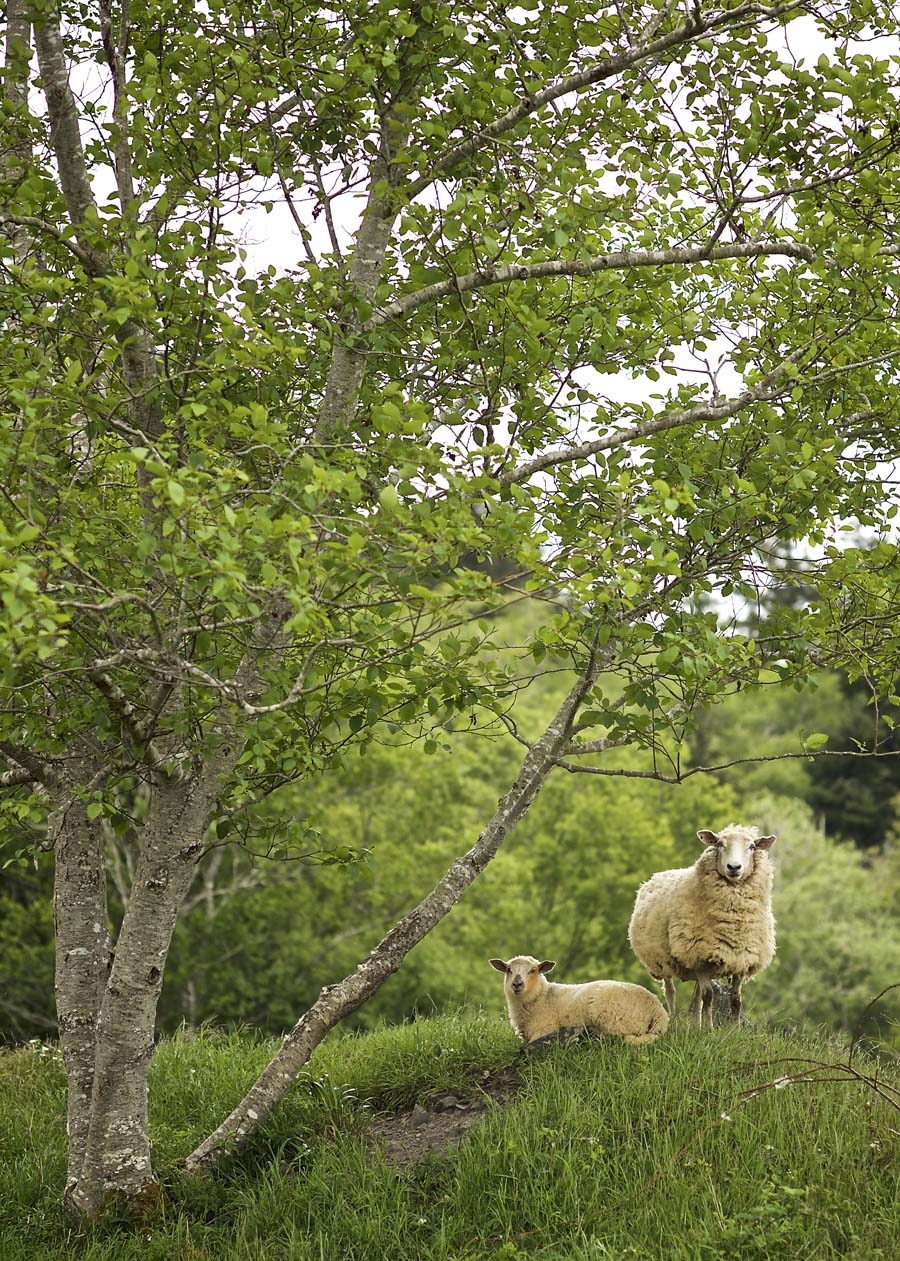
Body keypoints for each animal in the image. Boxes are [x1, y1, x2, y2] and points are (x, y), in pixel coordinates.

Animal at [491, 953, 665, 1044]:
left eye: (533, 970)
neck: (542, 997)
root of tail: (657, 1009)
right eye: (508, 970)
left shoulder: (544, 1030)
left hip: (612, 1018)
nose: (517, 984)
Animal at [625, 822, 771, 1028]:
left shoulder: (741, 959)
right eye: (719, 844)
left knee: (695, 998)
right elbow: (708, 997)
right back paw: (673, 1022)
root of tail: (654, 877)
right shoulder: (700, 957)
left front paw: (734, 1030)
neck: (733, 924)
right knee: (671, 992)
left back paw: (695, 1028)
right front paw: (709, 1029)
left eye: (751, 847)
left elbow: (735, 1000)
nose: (734, 867)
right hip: (663, 961)